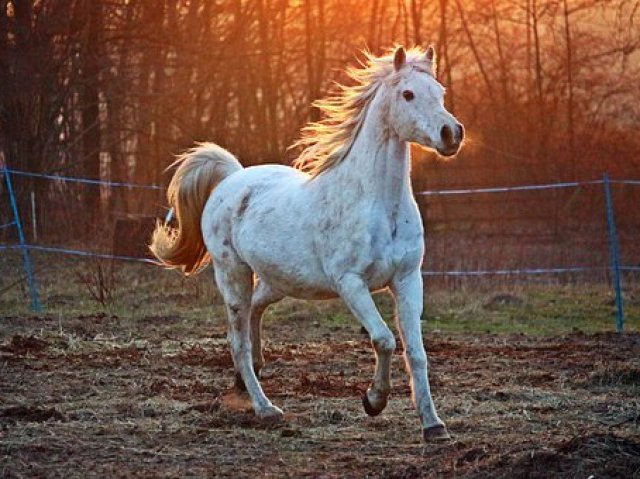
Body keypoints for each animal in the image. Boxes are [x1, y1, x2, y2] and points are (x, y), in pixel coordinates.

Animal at [151, 45, 464, 442]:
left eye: (440, 92)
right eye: (408, 94)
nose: (451, 133)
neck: (378, 204)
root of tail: (232, 178)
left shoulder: (408, 279)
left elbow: (417, 353)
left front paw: (434, 425)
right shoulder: (351, 284)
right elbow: (384, 339)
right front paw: (373, 401)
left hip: (278, 280)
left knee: (255, 312)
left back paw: (249, 378)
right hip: (233, 275)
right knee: (238, 341)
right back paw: (266, 408)